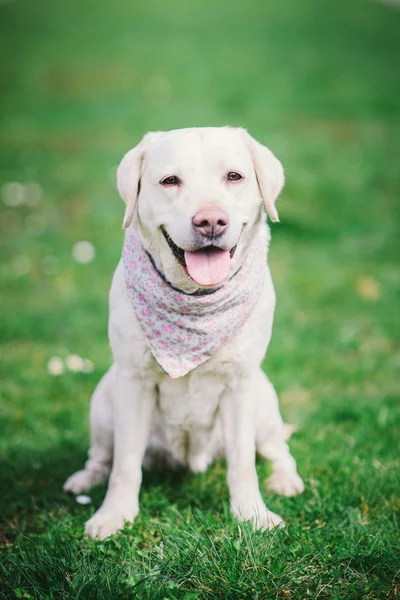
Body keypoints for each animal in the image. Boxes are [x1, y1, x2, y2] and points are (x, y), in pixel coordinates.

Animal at [64, 126, 304, 540]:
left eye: (234, 177)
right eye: (170, 181)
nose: (210, 221)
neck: (196, 299)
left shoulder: (241, 386)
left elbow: (243, 463)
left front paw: (252, 515)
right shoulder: (133, 382)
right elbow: (125, 464)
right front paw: (114, 515)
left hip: (264, 405)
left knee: (278, 450)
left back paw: (285, 480)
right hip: (104, 401)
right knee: (102, 456)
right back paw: (85, 478)